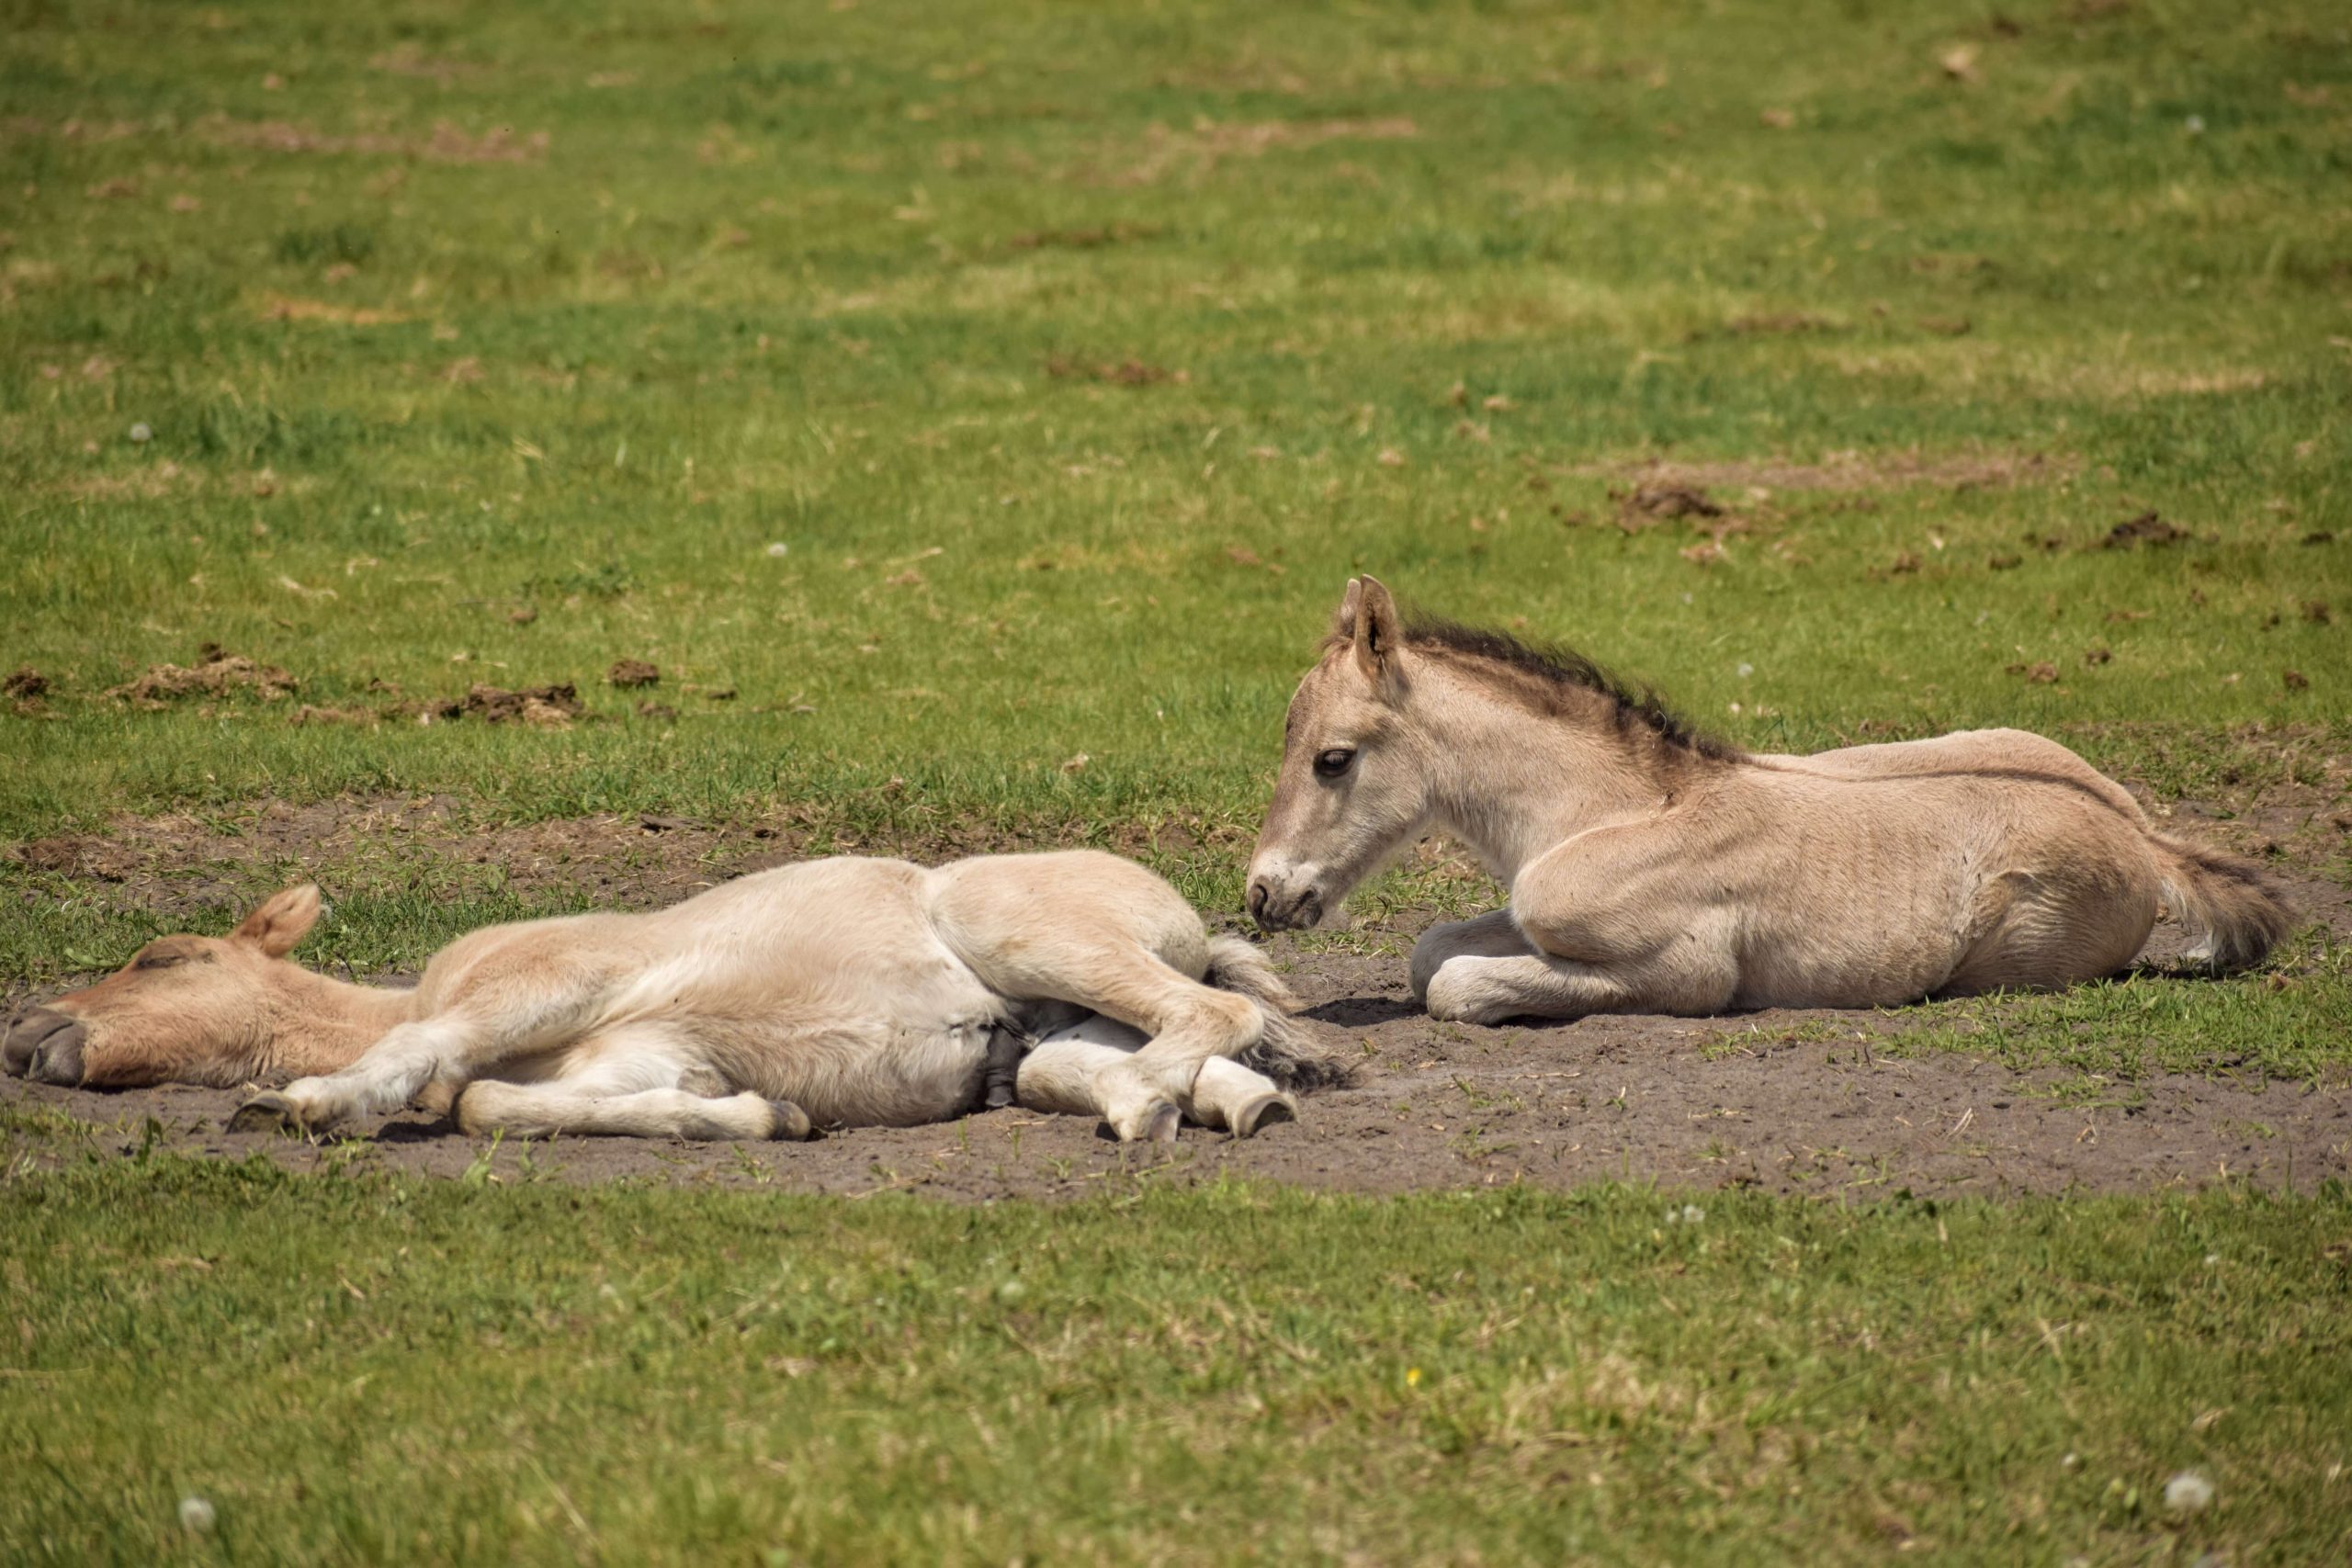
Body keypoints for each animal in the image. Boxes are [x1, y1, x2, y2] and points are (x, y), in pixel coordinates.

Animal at [1250, 576, 2295, 1029]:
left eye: (1333, 760)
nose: (1262, 895)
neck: (1617, 807)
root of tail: (2146, 838)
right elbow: (1432, 950)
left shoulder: (1685, 971)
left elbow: (1456, 985)